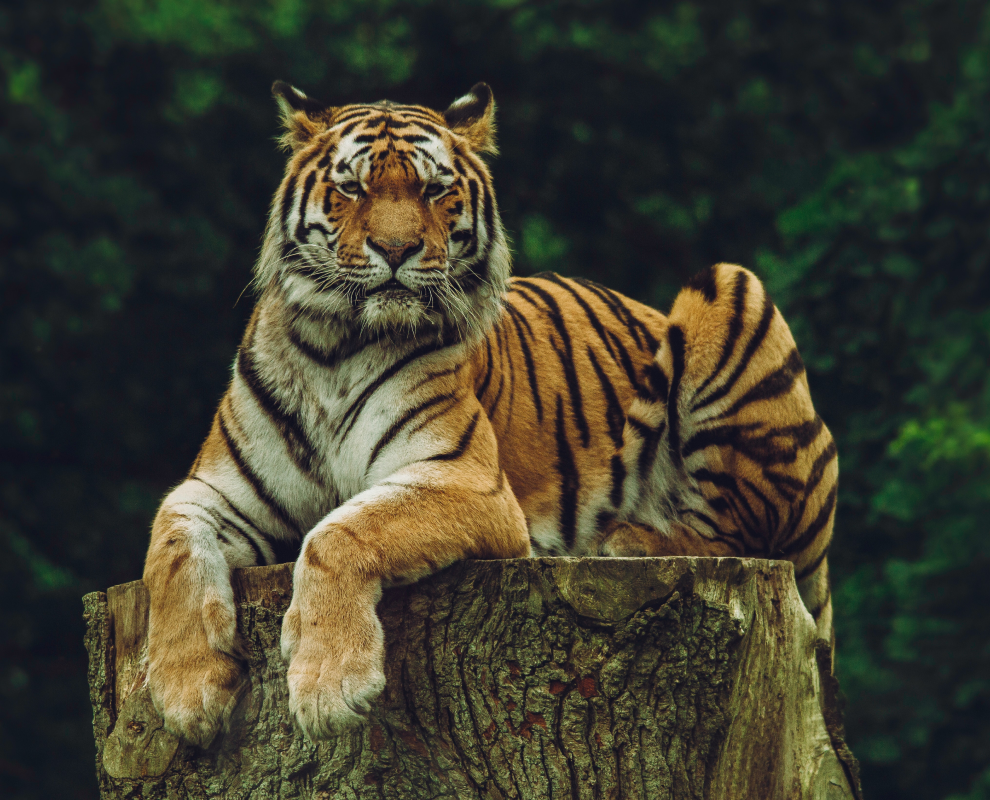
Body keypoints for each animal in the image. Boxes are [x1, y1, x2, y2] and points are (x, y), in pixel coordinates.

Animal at [143, 81, 838, 745]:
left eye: (434, 189)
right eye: (352, 187)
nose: (396, 248)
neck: (333, 347)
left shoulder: (465, 479)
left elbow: (339, 532)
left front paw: (329, 687)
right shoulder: (217, 490)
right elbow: (170, 552)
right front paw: (186, 693)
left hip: (731, 288)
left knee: (742, 532)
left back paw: (629, 538)